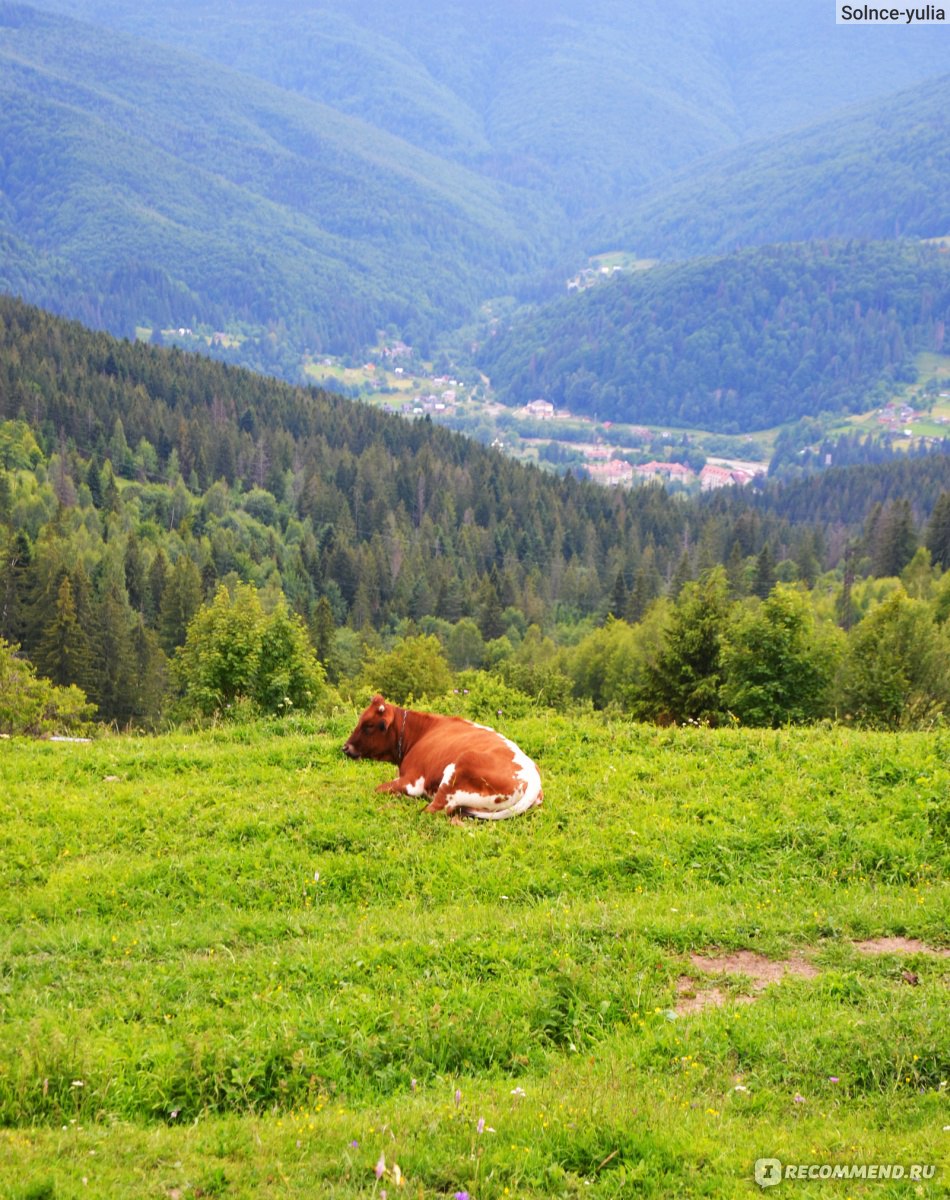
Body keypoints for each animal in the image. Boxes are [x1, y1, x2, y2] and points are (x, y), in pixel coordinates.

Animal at [345, 700, 544, 820]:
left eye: (368, 725)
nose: (345, 748)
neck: (419, 733)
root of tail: (533, 775)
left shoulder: (413, 780)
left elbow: (377, 789)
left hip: (457, 771)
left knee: (430, 811)